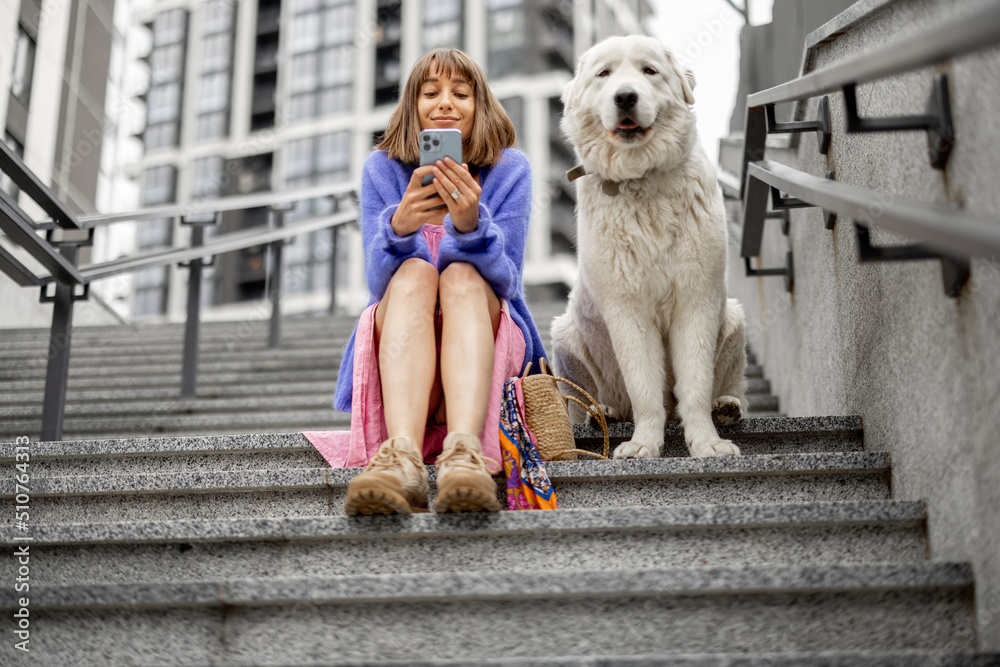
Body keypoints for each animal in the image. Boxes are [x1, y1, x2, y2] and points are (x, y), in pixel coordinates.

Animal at [552, 32, 748, 460]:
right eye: (604, 74)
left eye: (649, 71)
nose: (625, 97)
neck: (640, 179)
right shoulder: (627, 307)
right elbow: (643, 386)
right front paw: (643, 444)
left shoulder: (696, 298)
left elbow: (694, 383)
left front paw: (706, 443)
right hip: (565, 332)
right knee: (588, 401)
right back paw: (602, 411)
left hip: (734, 317)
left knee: (728, 384)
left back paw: (726, 406)